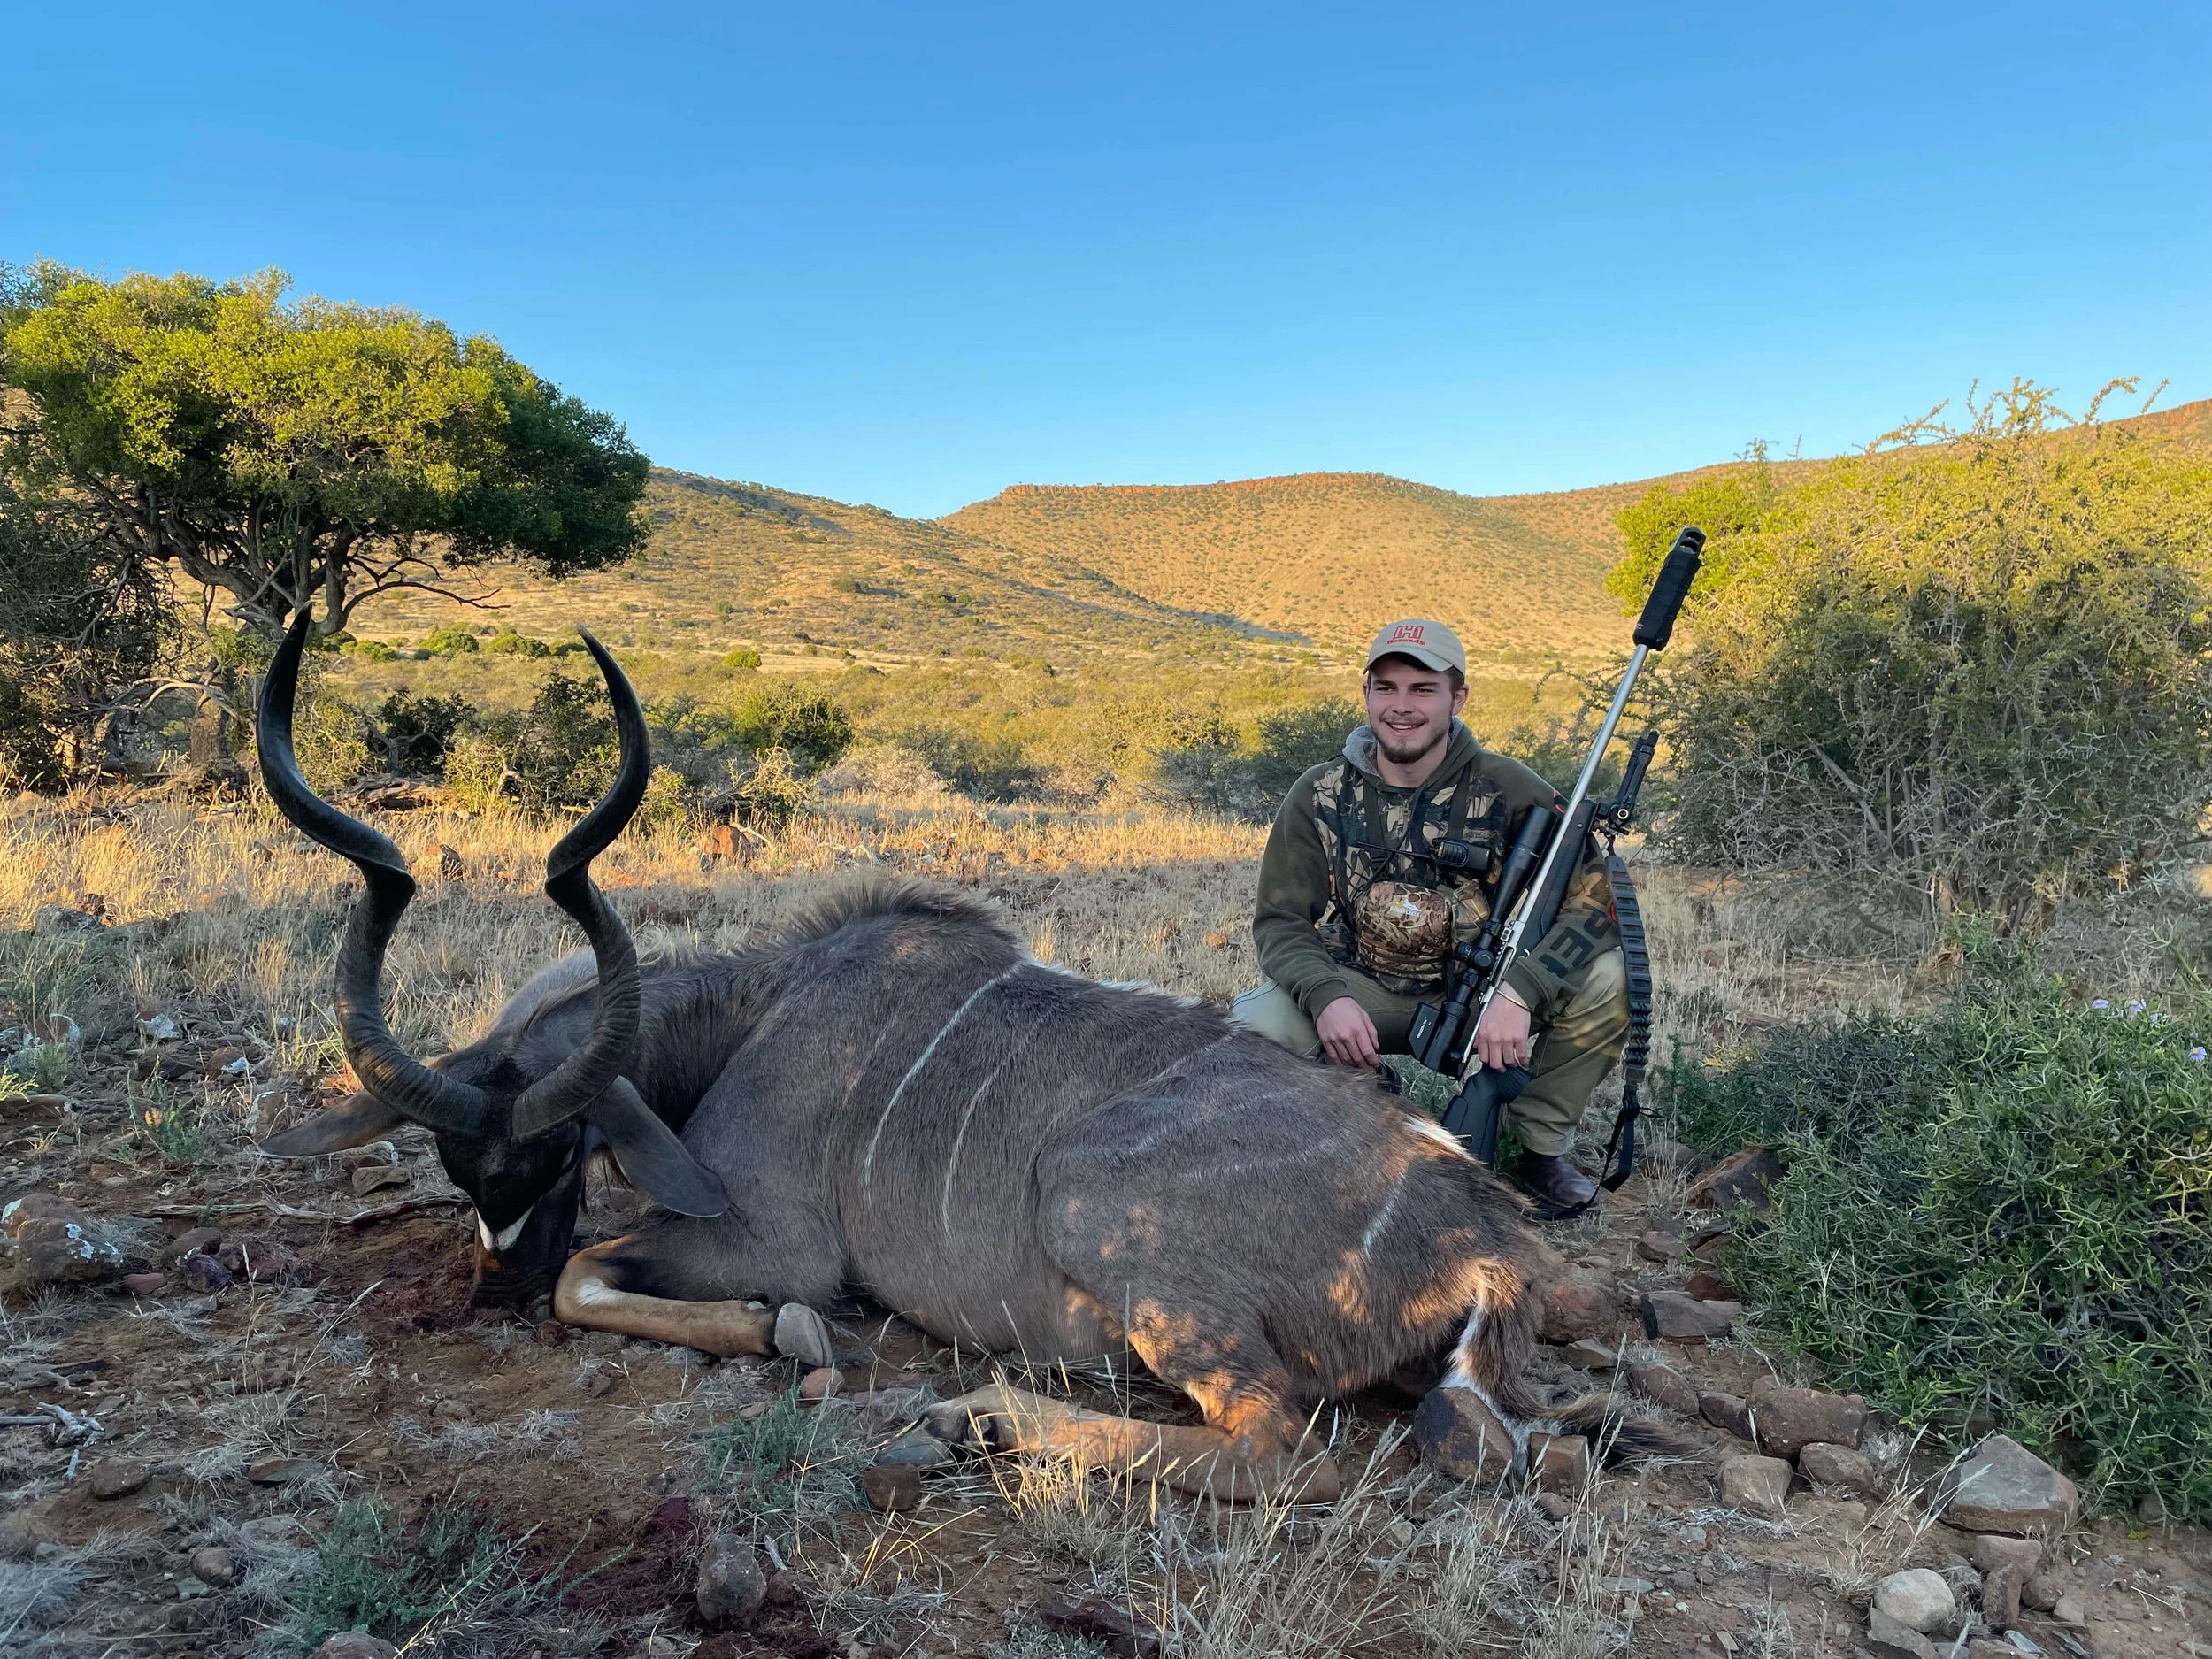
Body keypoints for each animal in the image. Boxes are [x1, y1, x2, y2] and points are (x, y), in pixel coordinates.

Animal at [256, 615, 1663, 1501]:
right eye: (455, 1165)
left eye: (557, 1153)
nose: (487, 1285)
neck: (758, 1008)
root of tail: (1482, 1240)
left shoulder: (776, 1240)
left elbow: (598, 1276)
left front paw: (790, 1337)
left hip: (1099, 1208)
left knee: (1279, 1449)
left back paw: (974, 1417)